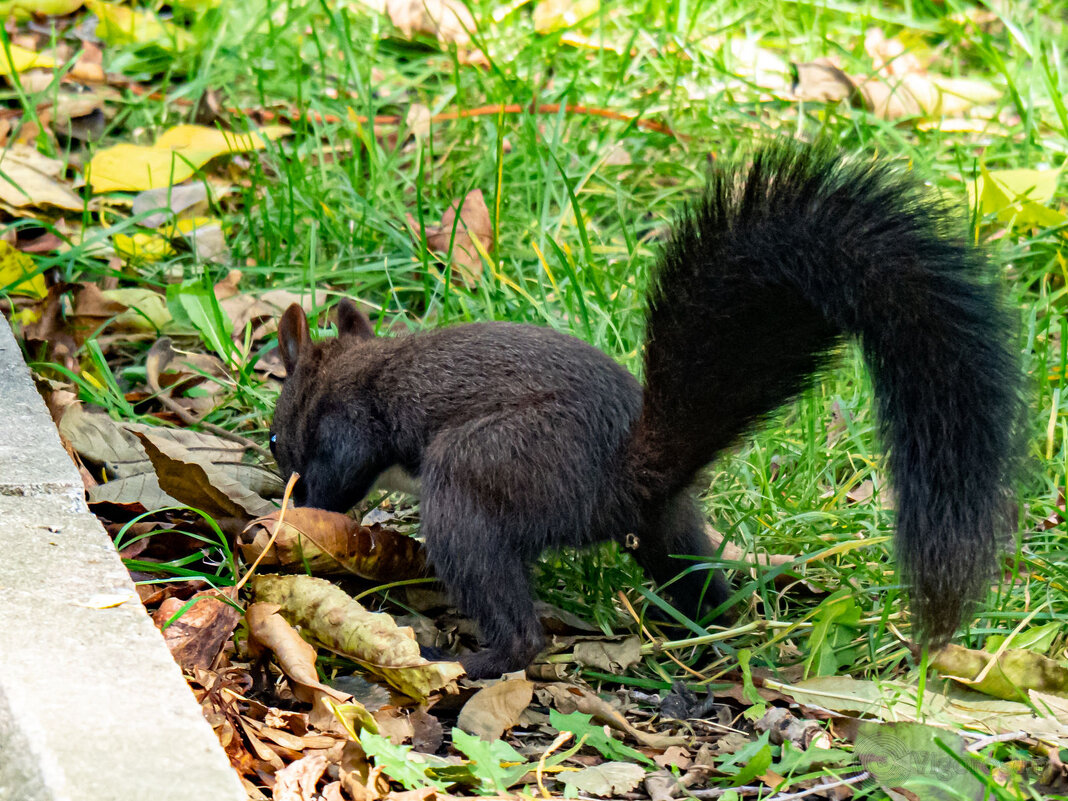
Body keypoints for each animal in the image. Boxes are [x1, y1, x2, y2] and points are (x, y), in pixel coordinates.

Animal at [267, 143, 1016, 679]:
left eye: (275, 439)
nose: (278, 465)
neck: (353, 366)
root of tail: (630, 471)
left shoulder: (351, 423)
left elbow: (340, 471)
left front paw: (303, 514)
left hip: (482, 472)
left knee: (516, 621)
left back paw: (469, 657)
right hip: (668, 524)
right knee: (696, 578)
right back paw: (717, 628)